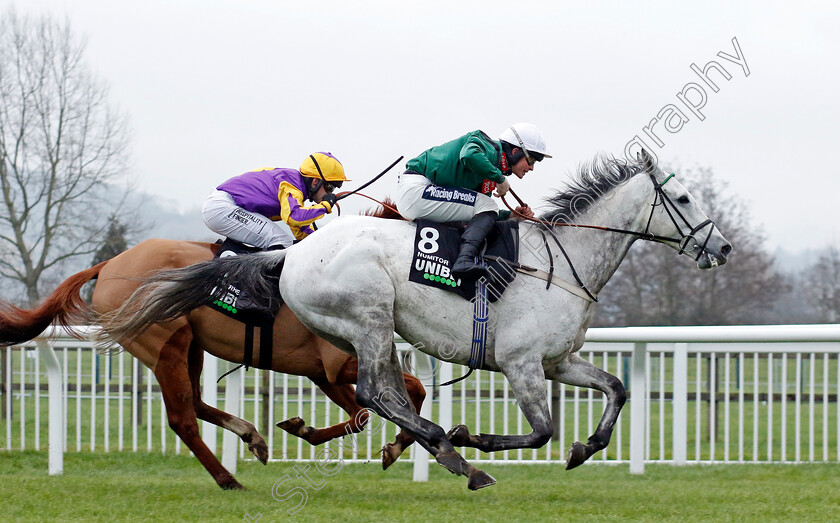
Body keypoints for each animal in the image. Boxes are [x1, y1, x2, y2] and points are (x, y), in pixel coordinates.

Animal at [0, 239, 424, 490]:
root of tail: (107, 266)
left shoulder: (323, 372)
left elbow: (363, 413)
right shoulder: (337, 364)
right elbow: (400, 396)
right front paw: (397, 444)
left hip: (191, 346)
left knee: (196, 403)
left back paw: (251, 437)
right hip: (165, 343)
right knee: (181, 418)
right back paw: (227, 478)